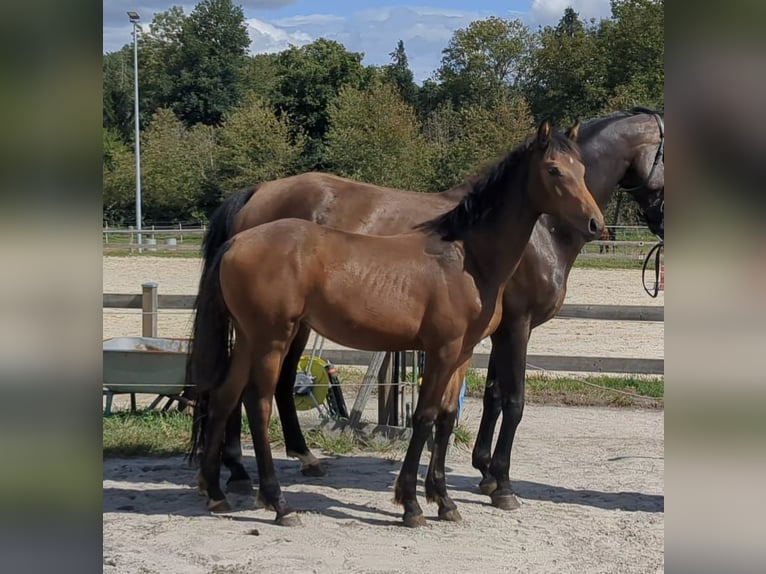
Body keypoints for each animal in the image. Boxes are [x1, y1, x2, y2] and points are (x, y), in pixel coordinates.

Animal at [186, 106, 665, 511]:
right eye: (553, 171)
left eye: (583, 170)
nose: (597, 224)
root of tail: (253, 201)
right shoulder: (515, 326)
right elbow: (506, 401)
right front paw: (497, 485)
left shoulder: (484, 336)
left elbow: (476, 403)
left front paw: (476, 477)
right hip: (276, 330)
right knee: (260, 392)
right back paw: (255, 479)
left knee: (242, 389)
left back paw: (246, 474)